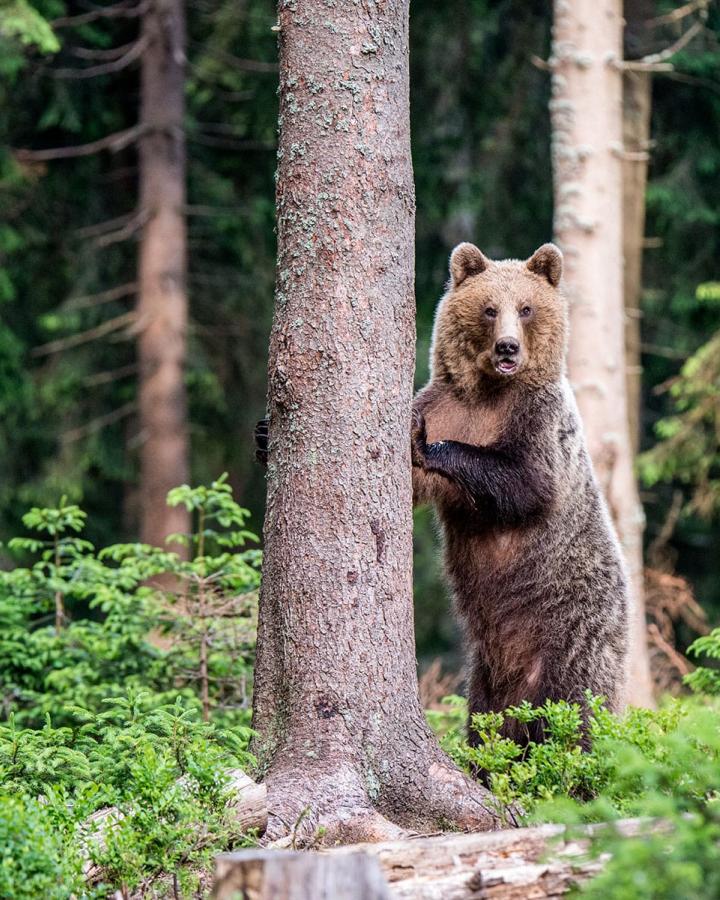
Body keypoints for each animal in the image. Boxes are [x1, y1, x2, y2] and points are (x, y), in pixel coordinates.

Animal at [414, 241, 628, 744]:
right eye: (490, 309)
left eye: (526, 308)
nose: (507, 346)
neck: (491, 392)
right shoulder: (445, 405)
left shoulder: (537, 421)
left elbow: (527, 485)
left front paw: (429, 447)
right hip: (485, 672)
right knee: (486, 719)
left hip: (571, 632)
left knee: (576, 713)